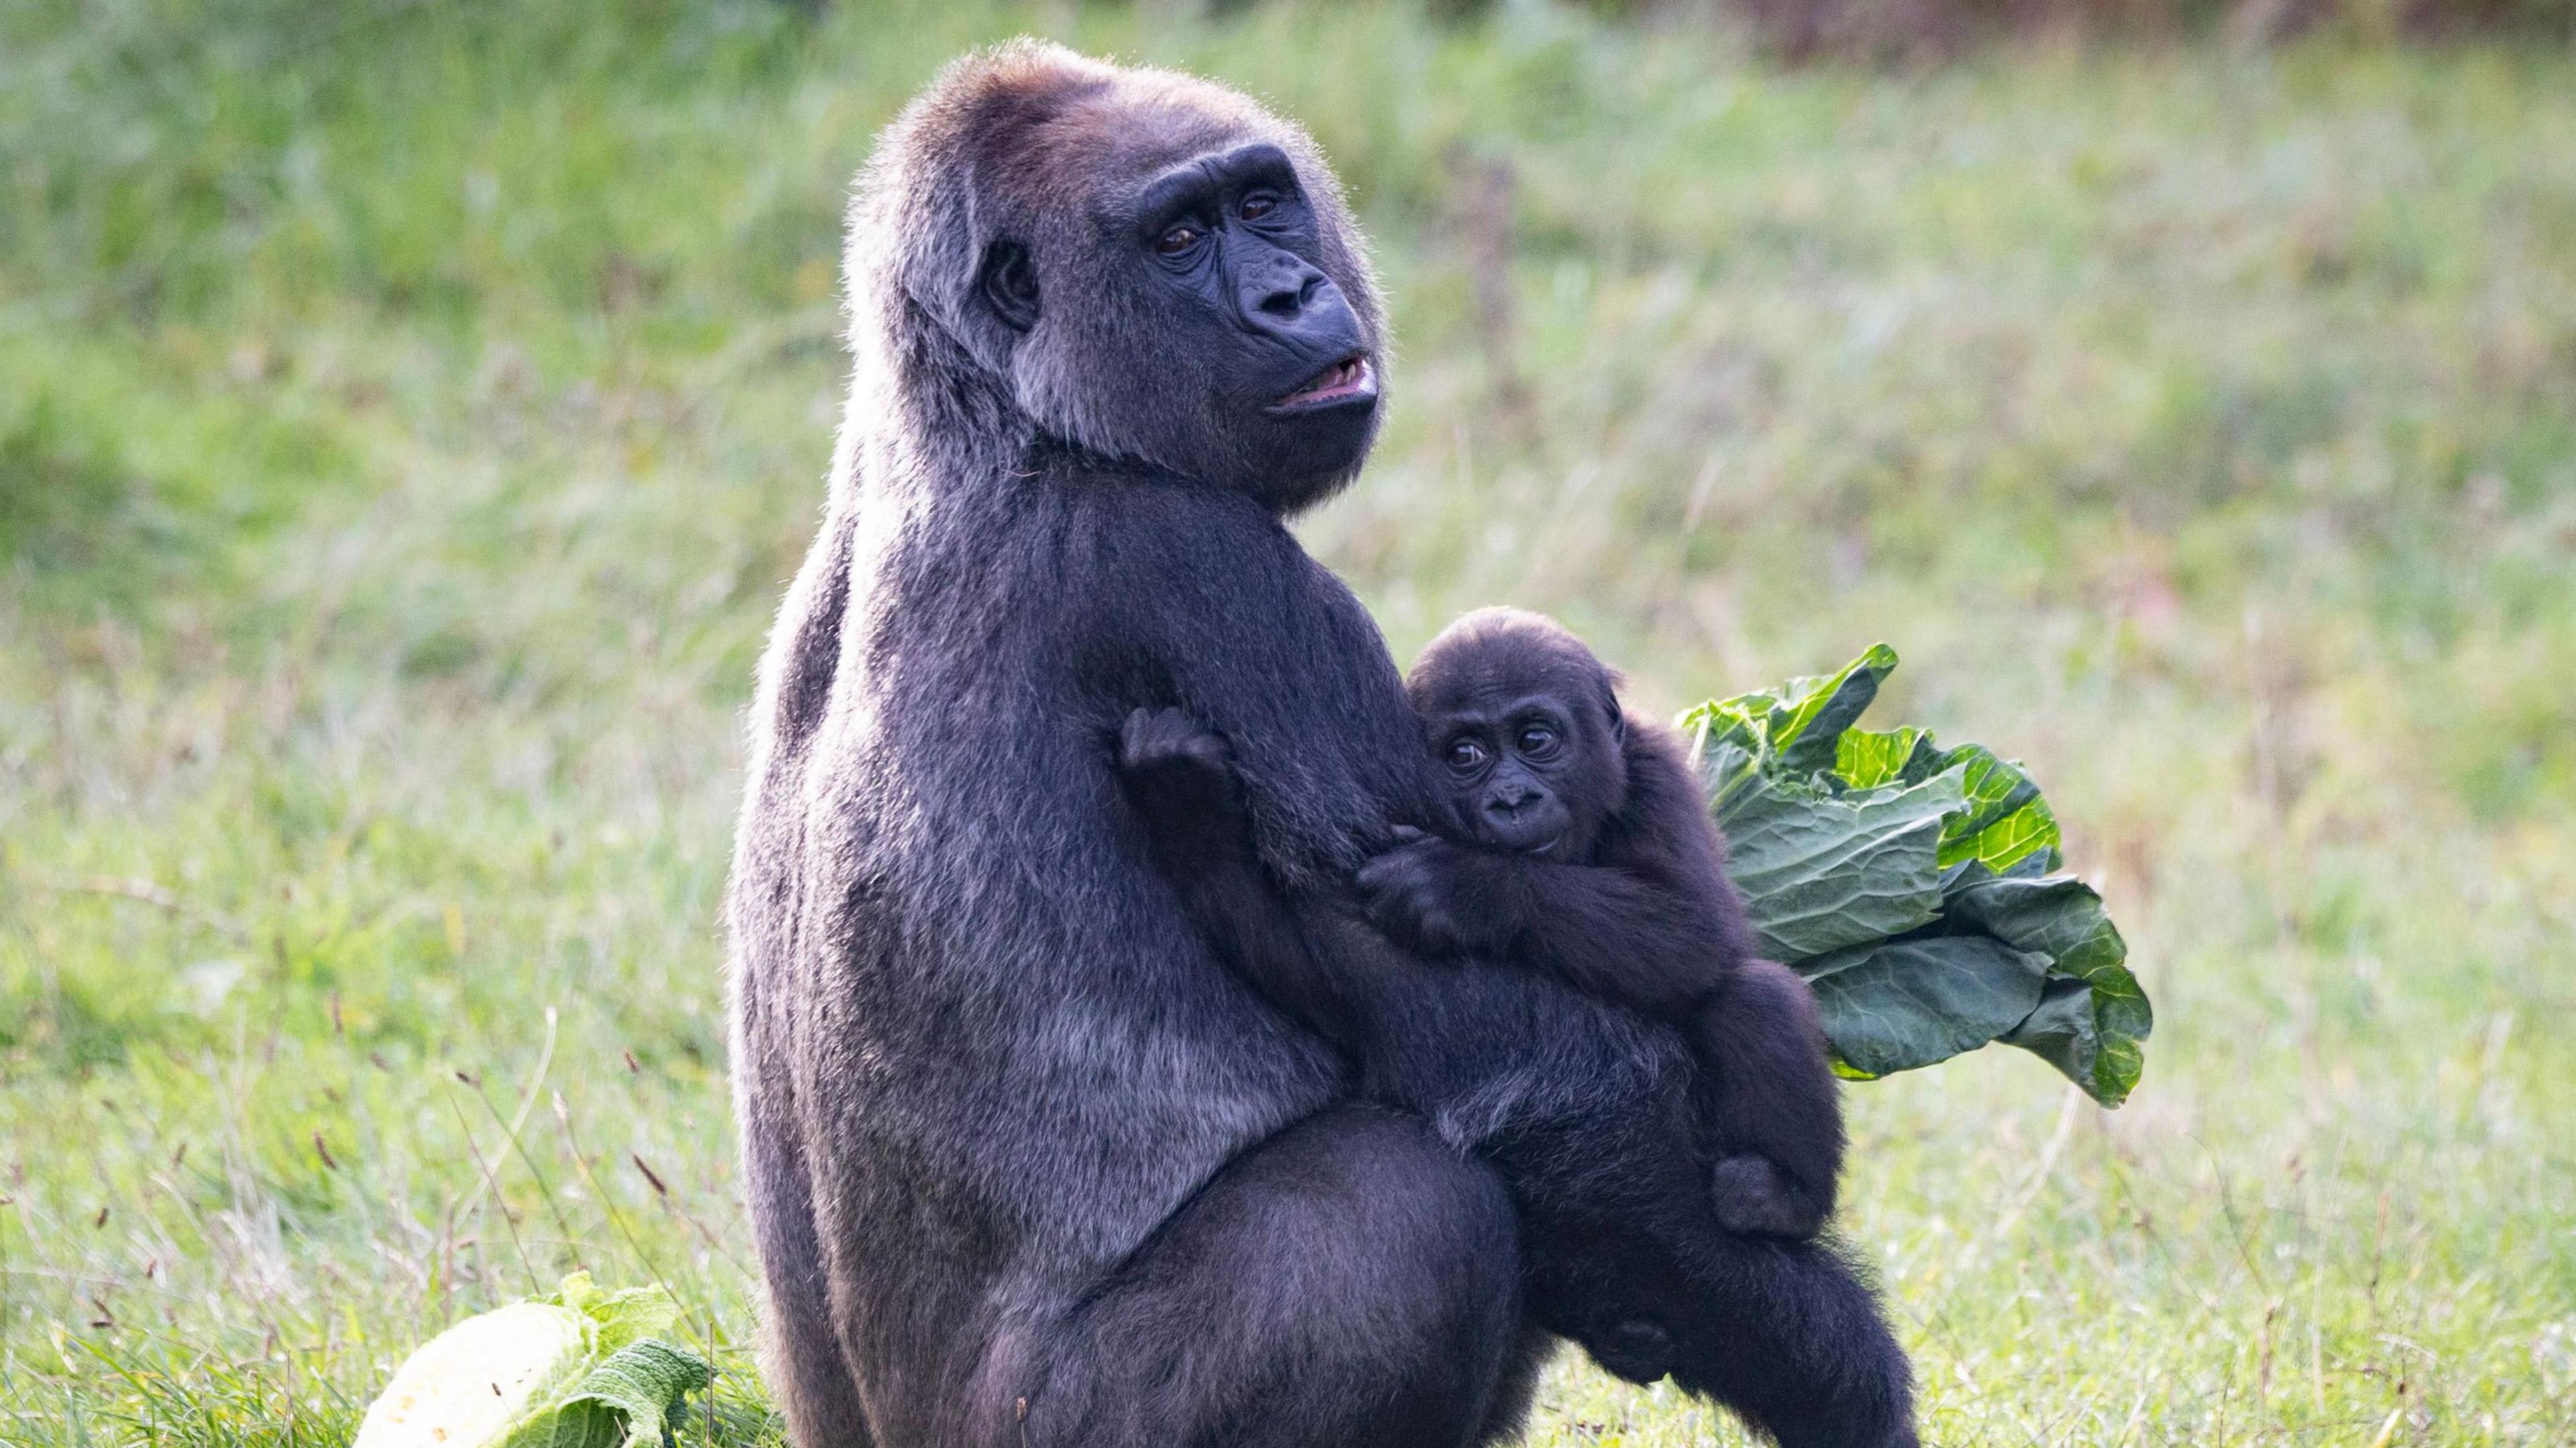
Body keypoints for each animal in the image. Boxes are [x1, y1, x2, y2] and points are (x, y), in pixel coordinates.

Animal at [726, 45, 1679, 1443]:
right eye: (1179, 240)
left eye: (1262, 204)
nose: (1290, 293)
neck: (992, 409)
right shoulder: (1201, 567)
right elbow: (1488, 1030)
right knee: (1406, 1205)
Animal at [1360, 600, 1844, 1226]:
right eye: (1465, 754)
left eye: (1536, 739)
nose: (1512, 799)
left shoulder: (1655, 769)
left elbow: (1693, 929)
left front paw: (1465, 885)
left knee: (1754, 995)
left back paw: (1785, 1195)